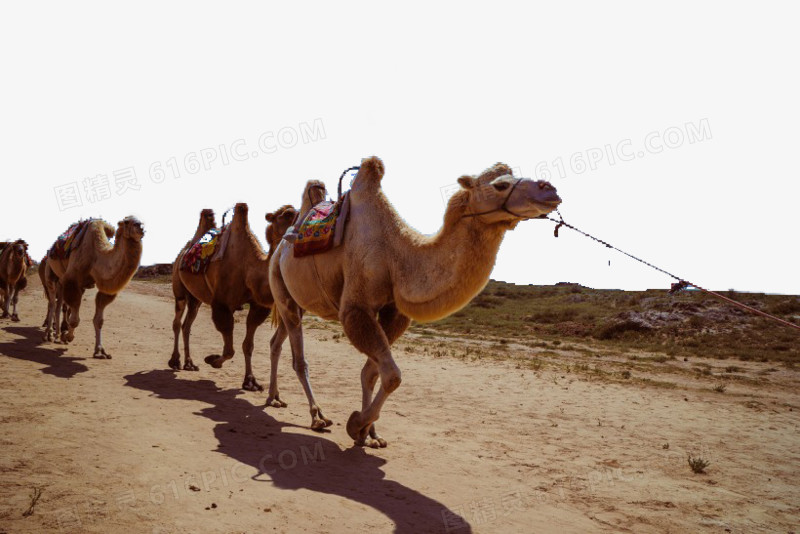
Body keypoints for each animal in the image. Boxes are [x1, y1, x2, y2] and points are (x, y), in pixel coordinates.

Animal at [45, 218, 145, 360]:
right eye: (127, 222)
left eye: (141, 222)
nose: (140, 228)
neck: (97, 256)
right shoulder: (72, 279)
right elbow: (75, 320)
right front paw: (68, 337)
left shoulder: (103, 287)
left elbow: (99, 320)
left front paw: (99, 351)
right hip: (50, 272)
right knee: (53, 302)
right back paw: (49, 334)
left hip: (62, 281)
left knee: (59, 305)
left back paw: (58, 334)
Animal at [172, 199, 312, 392]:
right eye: (287, 214)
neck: (249, 270)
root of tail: (183, 252)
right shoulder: (222, 305)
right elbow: (229, 349)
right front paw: (213, 360)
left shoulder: (258, 307)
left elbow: (248, 345)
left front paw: (250, 381)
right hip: (179, 289)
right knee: (177, 322)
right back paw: (175, 361)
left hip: (196, 299)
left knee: (187, 324)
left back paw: (189, 363)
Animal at [268, 158, 564, 448]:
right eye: (501, 185)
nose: (550, 190)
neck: (396, 254)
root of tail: (281, 248)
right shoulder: (356, 308)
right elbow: (392, 375)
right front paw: (355, 424)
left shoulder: (395, 312)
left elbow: (371, 372)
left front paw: (370, 434)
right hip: (281, 289)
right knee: (299, 359)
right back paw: (317, 416)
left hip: (298, 301)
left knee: (276, 341)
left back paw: (274, 397)